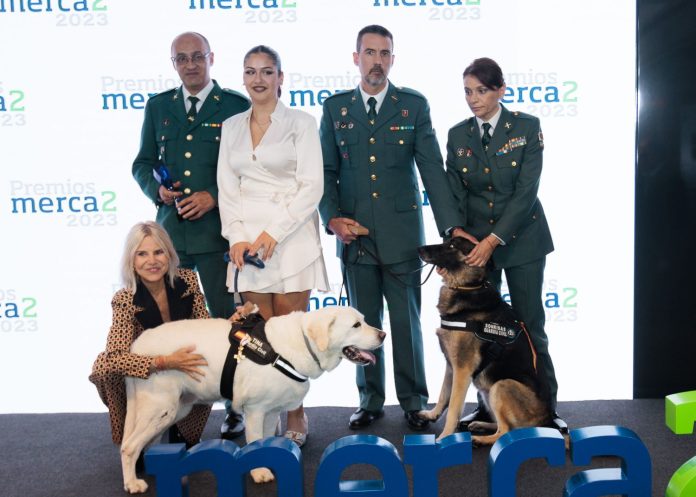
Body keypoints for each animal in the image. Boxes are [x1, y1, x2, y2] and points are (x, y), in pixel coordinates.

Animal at [117, 304, 384, 494]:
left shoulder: (272, 411)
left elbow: (266, 440)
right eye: (356, 325)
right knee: (128, 446)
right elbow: (255, 441)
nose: (383, 334)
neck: (299, 344)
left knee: (144, 443)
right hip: (161, 407)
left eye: (363, 320)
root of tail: (137, 344)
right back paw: (132, 483)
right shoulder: (255, 409)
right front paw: (259, 471)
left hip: (176, 408)